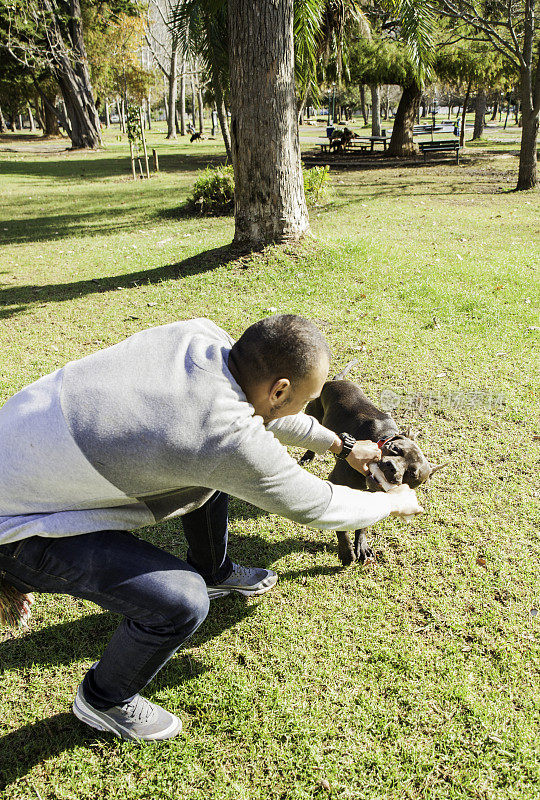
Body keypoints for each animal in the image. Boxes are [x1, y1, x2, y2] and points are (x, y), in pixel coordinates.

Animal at [300, 366, 442, 564]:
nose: (391, 467)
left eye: (413, 473)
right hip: (313, 414)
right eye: (395, 449)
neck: (381, 437)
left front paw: (362, 545)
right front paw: (346, 551)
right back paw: (308, 456)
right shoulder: (337, 483)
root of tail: (336, 380)